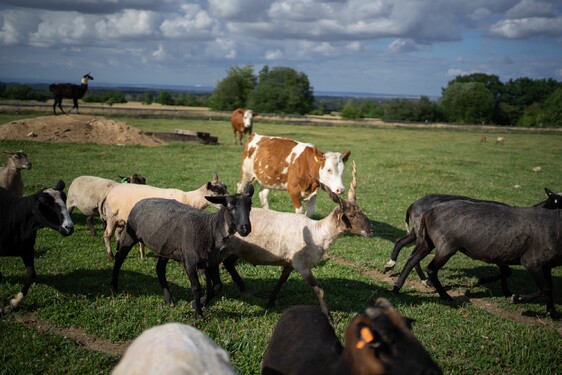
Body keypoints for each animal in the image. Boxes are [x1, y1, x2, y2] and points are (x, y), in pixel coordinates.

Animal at [0, 180, 73, 314]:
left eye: (64, 200)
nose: (69, 228)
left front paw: (15, 303)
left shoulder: (27, 250)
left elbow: (31, 274)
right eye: (47, 204)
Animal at [110, 185, 254, 320]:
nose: (245, 228)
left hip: (165, 247)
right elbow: (196, 288)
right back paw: (113, 288)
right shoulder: (189, 262)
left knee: (159, 269)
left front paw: (199, 303)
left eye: (250, 204)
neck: (210, 229)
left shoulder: (212, 262)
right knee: (119, 259)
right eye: (229, 205)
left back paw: (168, 299)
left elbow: (217, 286)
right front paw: (198, 313)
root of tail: (141, 201)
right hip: (129, 235)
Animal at [382, 188, 560, 290]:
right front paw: (485, 282)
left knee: (402, 243)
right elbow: (506, 272)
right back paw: (424, 280)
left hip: (419, 233)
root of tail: (413, 204)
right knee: (414, 255)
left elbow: (507, 272)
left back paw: (391, 266)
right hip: (425, 236)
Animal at [392, 203, 560, 320]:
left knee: (412, 260)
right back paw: (445, 296)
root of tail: (429, 212)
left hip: (428, 242)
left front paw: (552, 312)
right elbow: (546, 288)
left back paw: (396, 288)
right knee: (431, 268)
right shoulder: (533, 261)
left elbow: (549, 287)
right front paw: (516, 298)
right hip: (446, 246)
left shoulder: (545, 265)